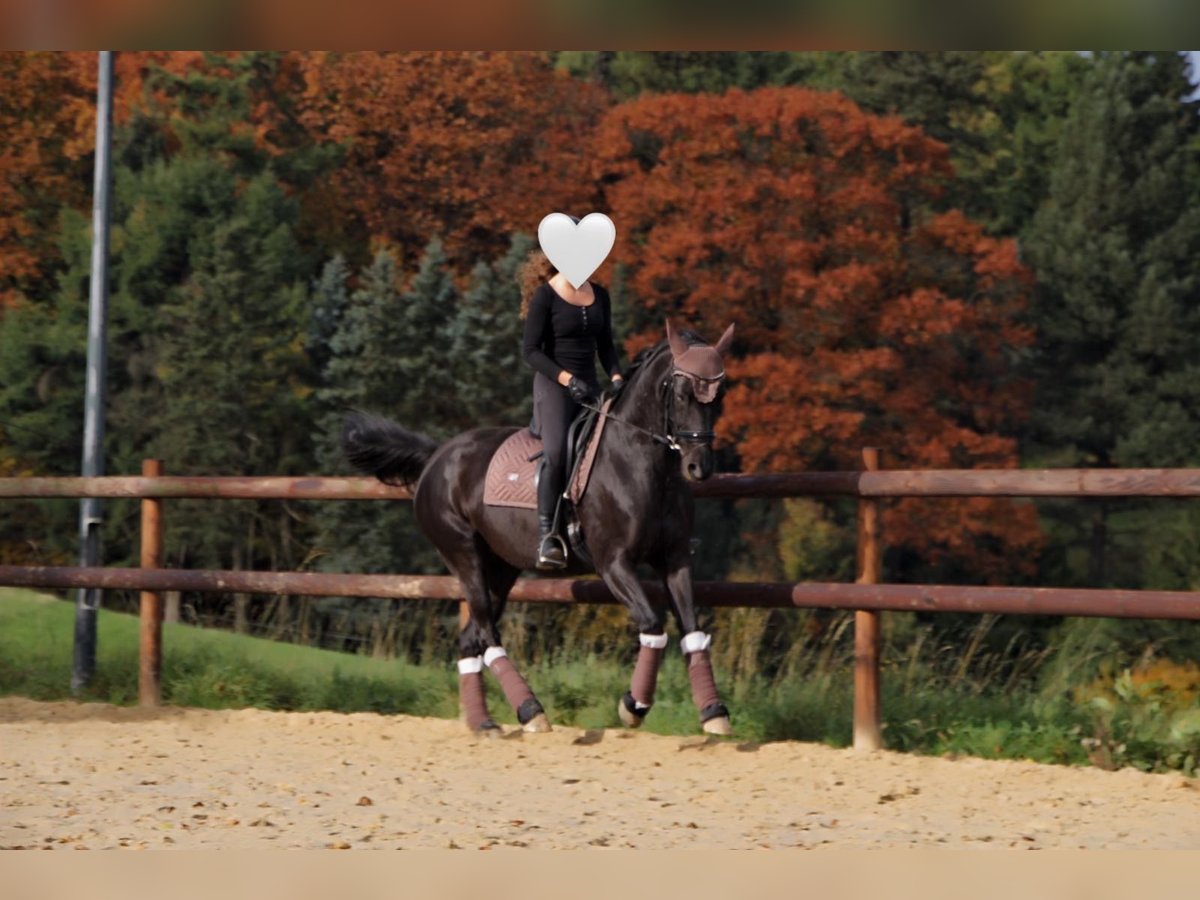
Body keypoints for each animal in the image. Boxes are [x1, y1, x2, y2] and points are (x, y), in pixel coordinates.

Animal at [342, 320, 735, 735]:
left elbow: (692, 629)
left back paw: (483, 723)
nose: (699, 468)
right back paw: (531, 710)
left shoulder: (674, 559)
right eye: (682, 393)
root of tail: (437, 457)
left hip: (500, 568)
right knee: (487, 631)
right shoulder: (614, 563)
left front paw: (714, 712)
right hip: (464, 555)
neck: (643, 464)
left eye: (719, 394)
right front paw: (634, 705)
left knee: (470, 640)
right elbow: (653, 625)